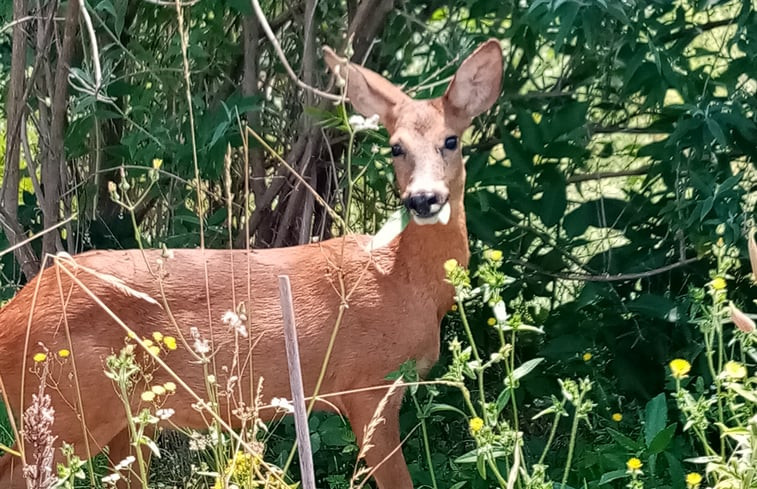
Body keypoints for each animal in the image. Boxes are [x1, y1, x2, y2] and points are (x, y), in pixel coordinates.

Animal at [0, 39, 502, 488]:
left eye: (451, 141)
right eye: (396, 147)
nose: (423, 198)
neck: (403, 280)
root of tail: (10, 315)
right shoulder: (368, 387)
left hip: (124, 417)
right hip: (68, 407)